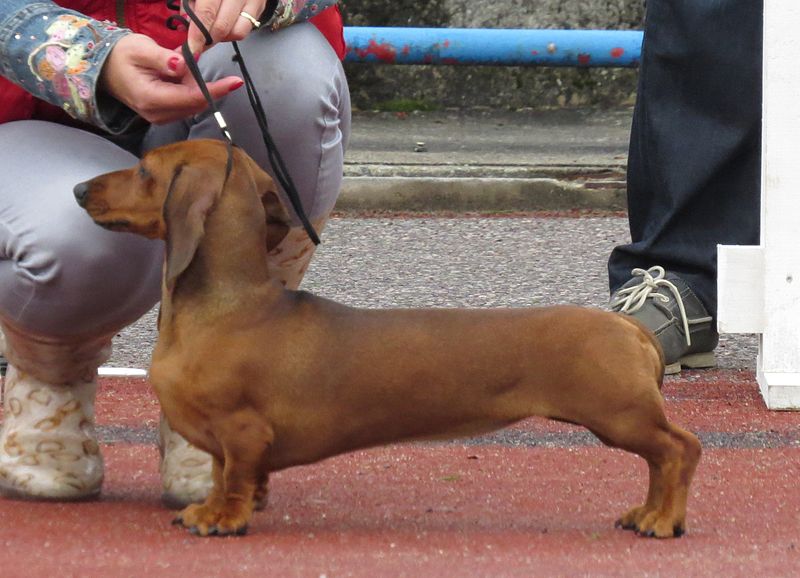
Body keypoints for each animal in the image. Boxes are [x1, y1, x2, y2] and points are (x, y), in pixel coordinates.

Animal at [73, 138, 700, 536]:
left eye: (145, 169)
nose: (79, 188)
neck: (231, 306)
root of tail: (626, 324)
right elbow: (224, 475)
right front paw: (207, 507)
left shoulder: (242, 432)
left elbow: (233, 478)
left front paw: (219, 518)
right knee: (662, 458)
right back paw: (646, 514)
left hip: (620, 414)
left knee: (680, 449)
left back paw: (663, 521)